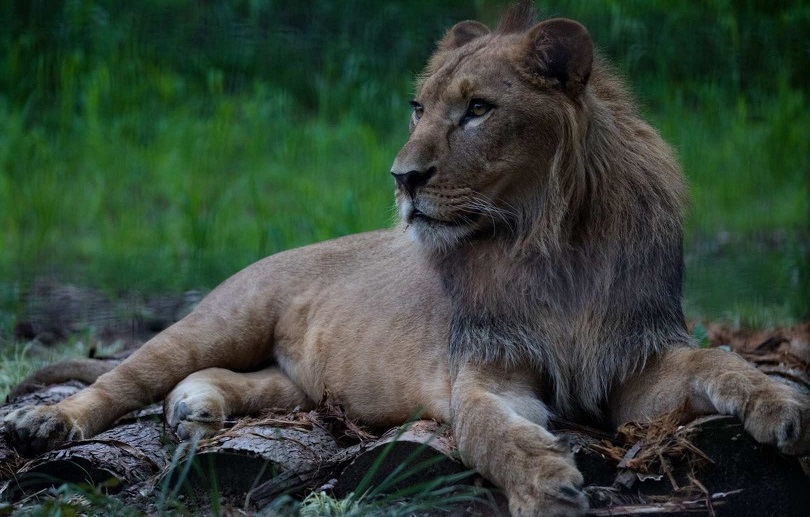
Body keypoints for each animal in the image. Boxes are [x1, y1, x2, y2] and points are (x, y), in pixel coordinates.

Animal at [3, 5, 804, 516]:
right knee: (126, 375)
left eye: (478, 109)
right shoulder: (485, 372)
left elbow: (718, 362)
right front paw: (545, 485)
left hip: (298, 380)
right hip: (226, 315)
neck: (550, 243)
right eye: (420, 108)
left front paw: (781, 408)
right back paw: (49, 424)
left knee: (247, 383)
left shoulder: (630, 366)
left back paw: (197, 405)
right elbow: (493, 433)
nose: (402, 177)